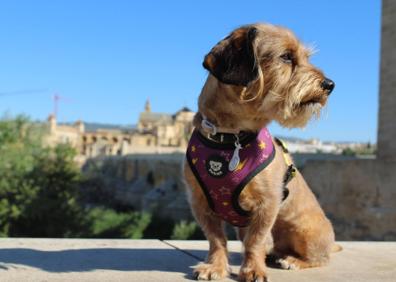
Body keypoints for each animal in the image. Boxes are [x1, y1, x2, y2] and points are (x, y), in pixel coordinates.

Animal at [184, 23, 338, 280]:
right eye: (286, 57)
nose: (329, 85)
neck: (231, 138)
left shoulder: (267, 205)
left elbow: (255, 241)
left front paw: (254, 269)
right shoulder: (201, 204)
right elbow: (216, 240)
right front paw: (215, 266)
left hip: (305, 232)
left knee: (320, 259)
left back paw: (293, 261)